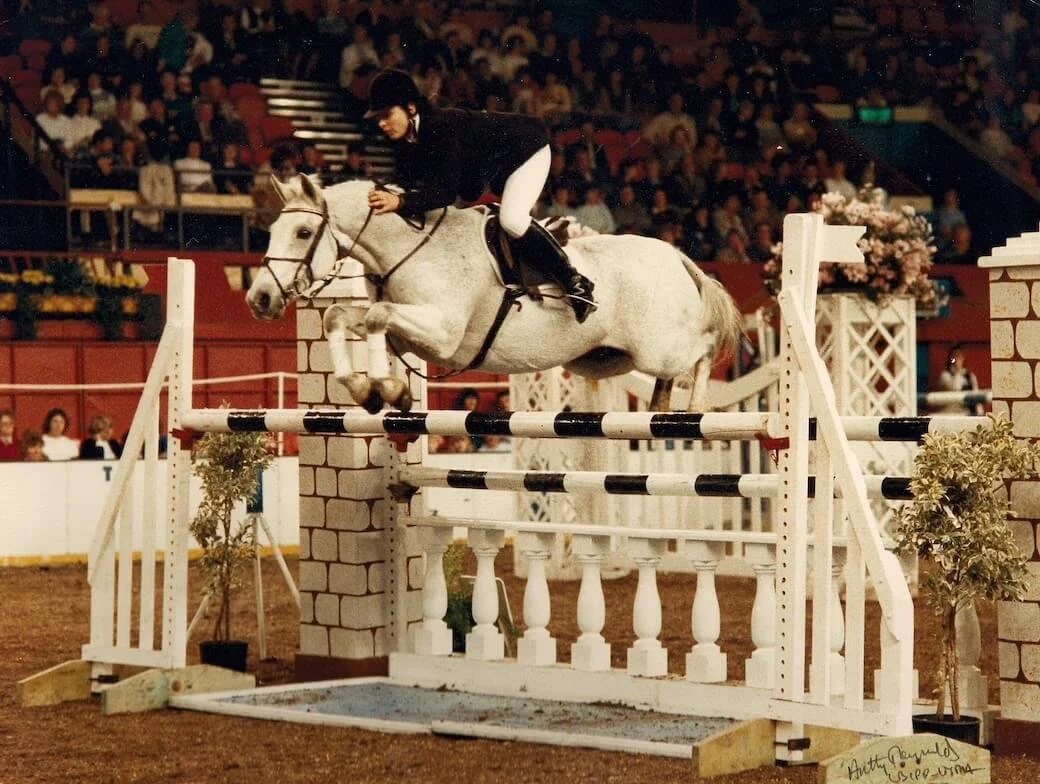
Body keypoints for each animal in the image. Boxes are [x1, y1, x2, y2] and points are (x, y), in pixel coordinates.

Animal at [246, 175, 743, 413]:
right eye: (270, 230)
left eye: (303, 232)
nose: (259, 299)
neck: (409, 247)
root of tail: (676, 256)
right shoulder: (411, 329)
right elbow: (343, 318)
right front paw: (371, 390)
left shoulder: (443, 333)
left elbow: (375, 316)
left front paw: (382, 387)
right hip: (605, 359)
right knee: (670, 372)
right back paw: (661, 405)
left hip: (658, 348)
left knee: (702, 349)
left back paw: (696, 404)